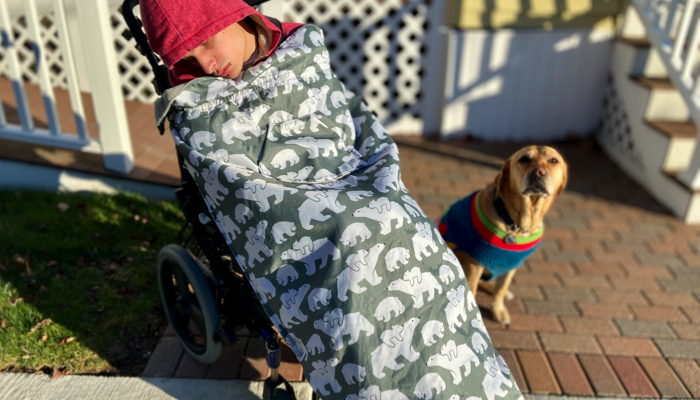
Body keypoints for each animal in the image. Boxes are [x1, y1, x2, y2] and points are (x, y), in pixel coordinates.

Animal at [440, 146, 568, 324]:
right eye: (524, 159)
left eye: (554, 160)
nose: (538, 172)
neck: (516, 223)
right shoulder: (475, 261)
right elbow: (471, 289)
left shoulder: (512, 263)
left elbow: (501, 288)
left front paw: (498, 309)